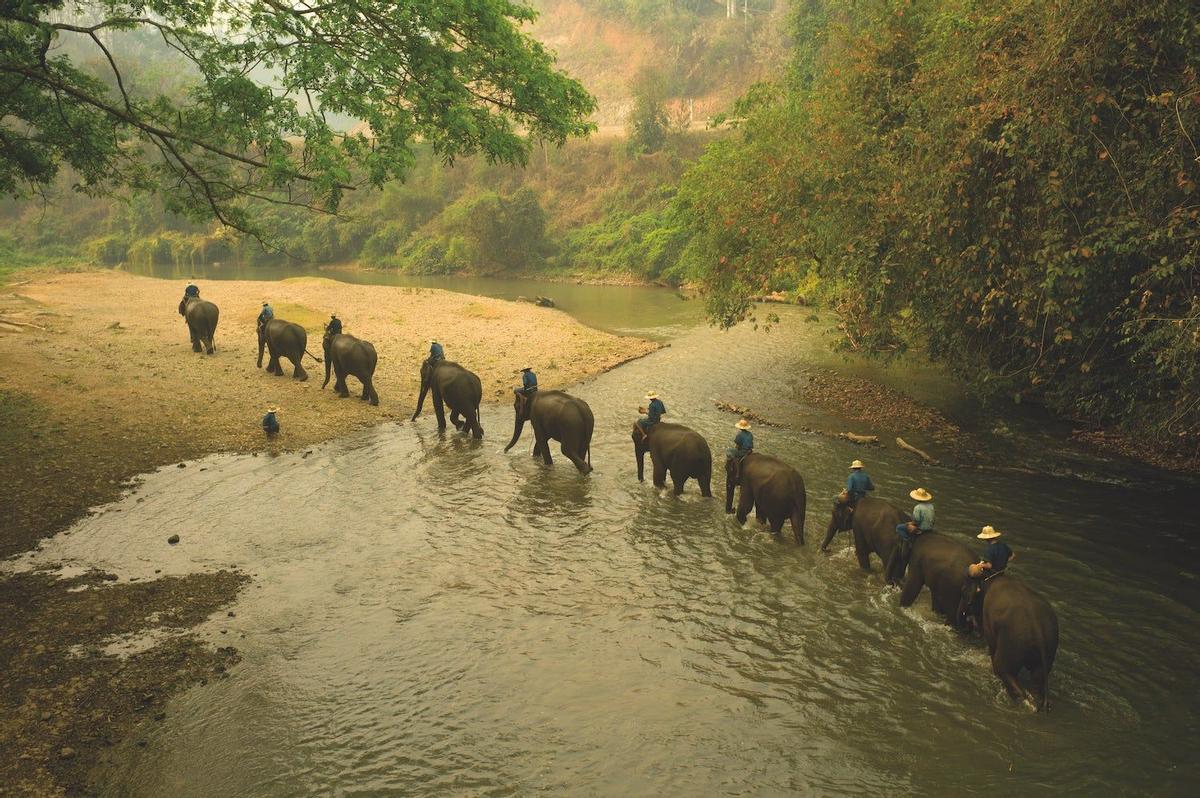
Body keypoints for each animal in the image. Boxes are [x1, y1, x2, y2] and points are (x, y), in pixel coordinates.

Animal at [955, 573, 1060, 710]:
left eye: (963, 592)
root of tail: (1037, 630)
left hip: (1013, 643)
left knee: (1004, 670)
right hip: (1049, 647)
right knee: (1037, 680)